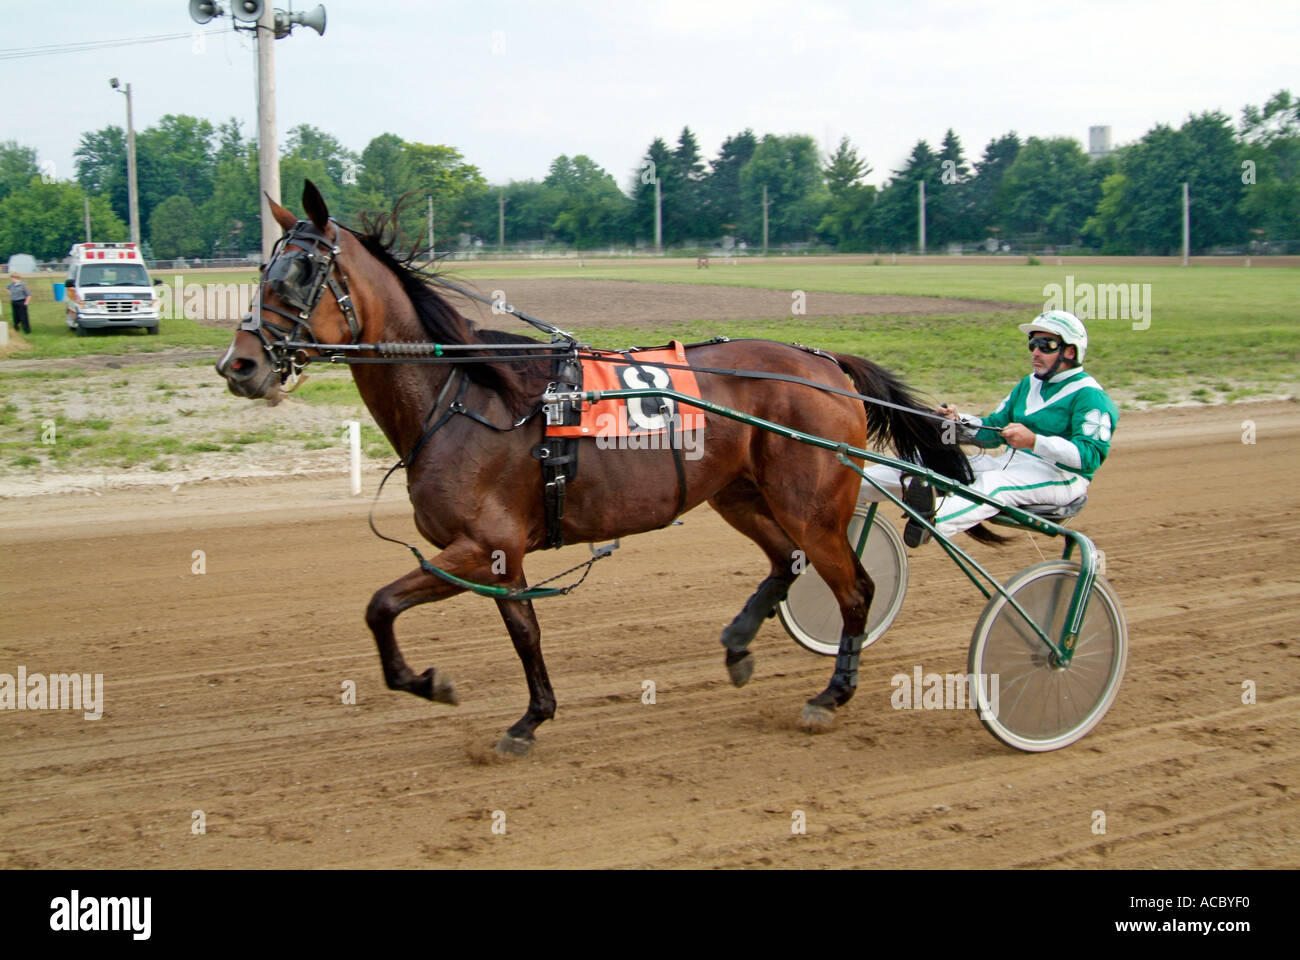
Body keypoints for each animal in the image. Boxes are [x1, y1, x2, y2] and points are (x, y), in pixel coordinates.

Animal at [217, 180, 987, 756]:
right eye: (263, 269)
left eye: (300, 271)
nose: (239, 364)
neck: (461, 394)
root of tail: (827, 364)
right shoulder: (502, 553)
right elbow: (522, 629)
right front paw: (531, 717)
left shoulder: (481, 545)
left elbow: (381, 605)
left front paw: (432, 683)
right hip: (737, 495)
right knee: (785, 560)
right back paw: (739, 642)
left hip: (814, 504)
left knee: (854, 589)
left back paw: (831, 694)